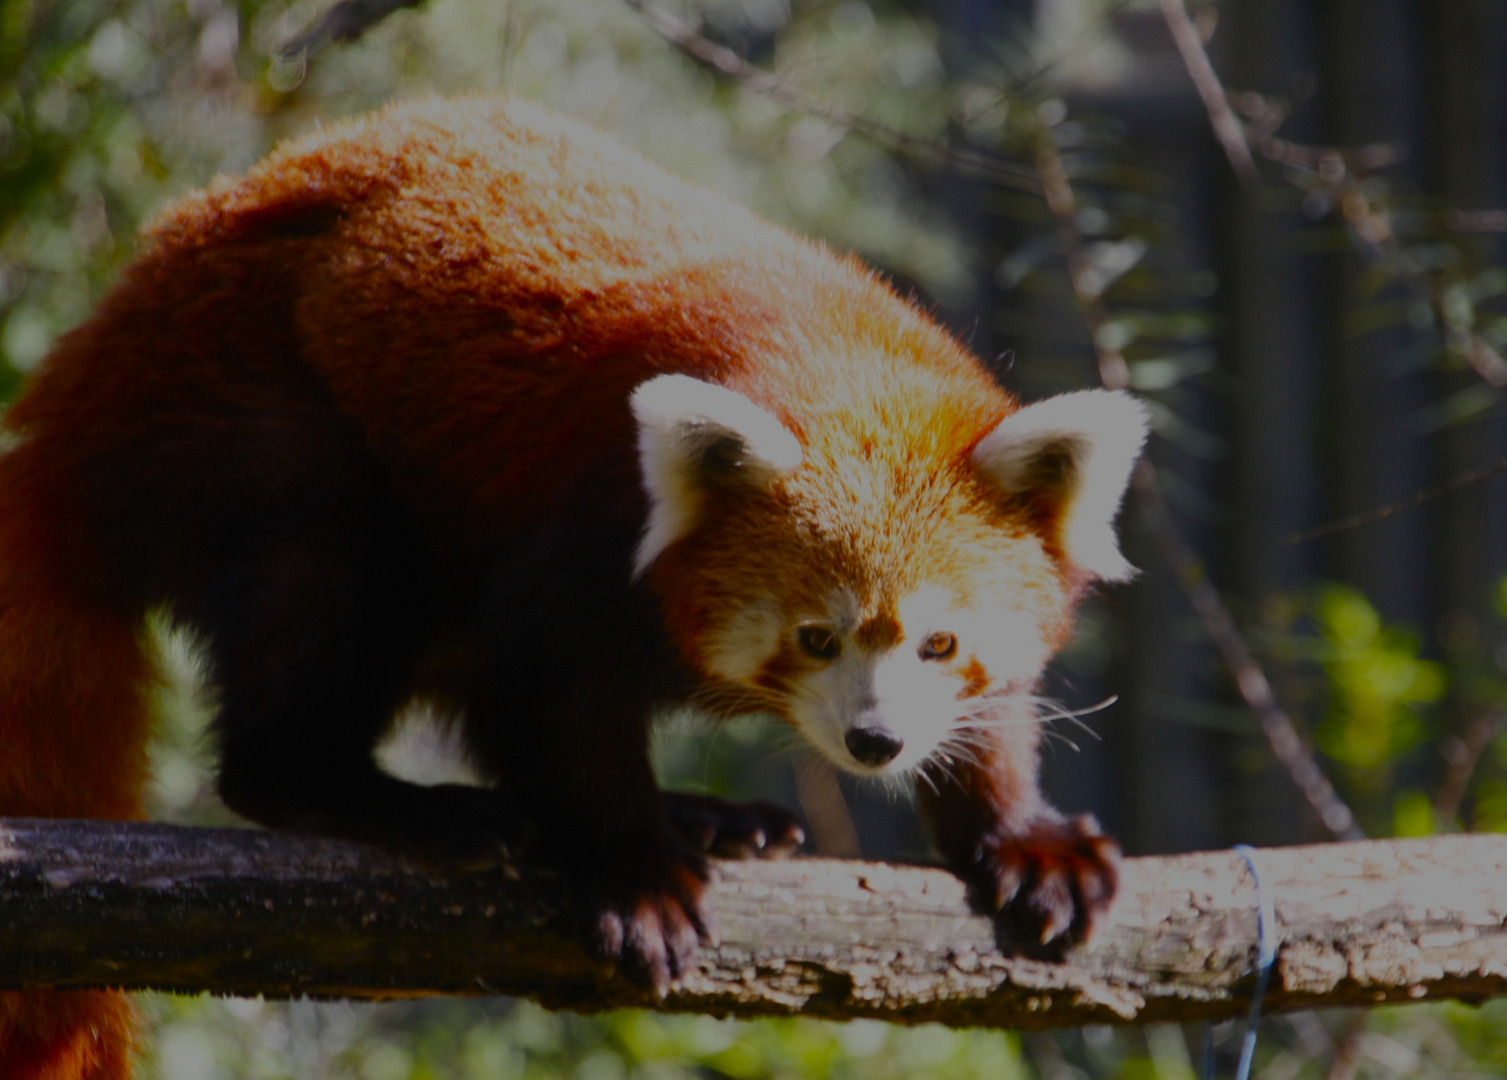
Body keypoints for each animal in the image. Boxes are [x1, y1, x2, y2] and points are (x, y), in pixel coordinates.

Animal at [0, 97, 1139, 1072]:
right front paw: (632, 870)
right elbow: (555, 698)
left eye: (938, 644)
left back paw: (702, 815)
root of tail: (75, 395)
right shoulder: (581, 534)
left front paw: (1023, 837)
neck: (837, 358)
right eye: (817, 637)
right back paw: (389, 802)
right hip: (248, 411)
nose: (875, 743)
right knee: (325, 589)